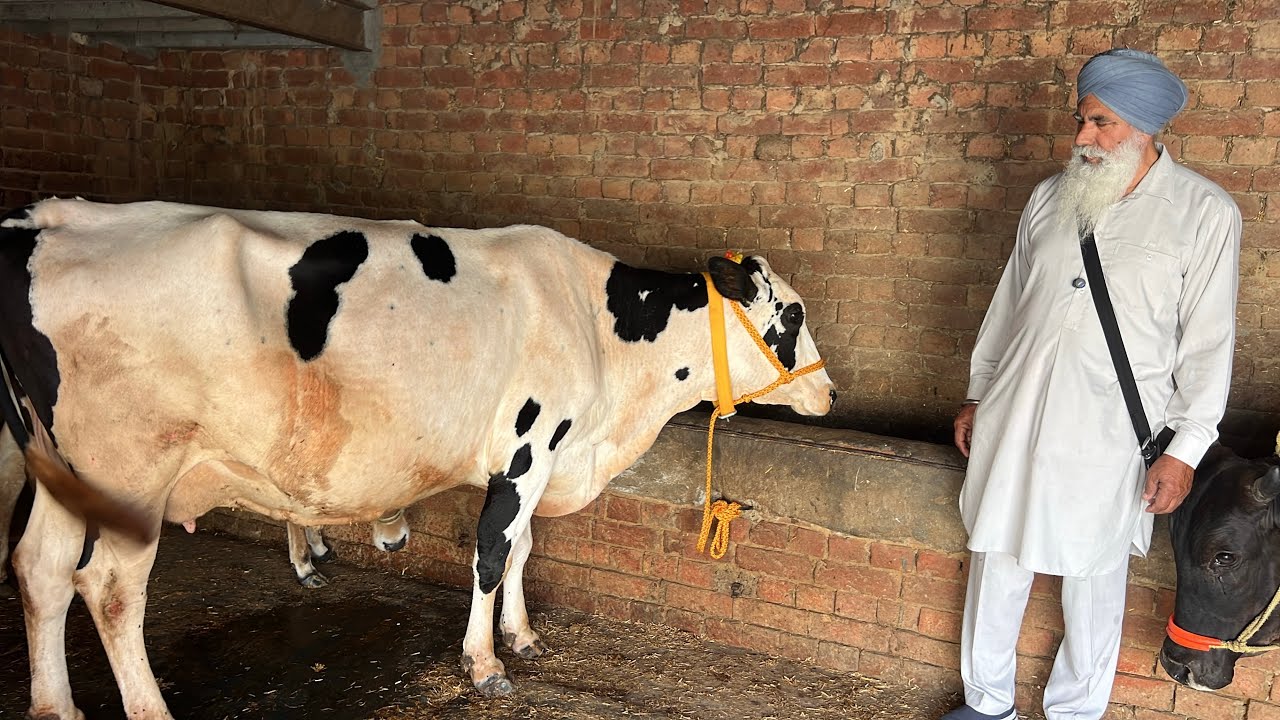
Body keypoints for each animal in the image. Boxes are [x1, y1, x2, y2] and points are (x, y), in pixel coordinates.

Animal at [0, 198, 834, 719]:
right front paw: (485, 664)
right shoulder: (527, 450)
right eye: (791, 314)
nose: (828, 392)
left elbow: (523, 549)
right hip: (132, 471)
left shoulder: (538, 459)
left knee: (40, 568)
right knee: (108, 587)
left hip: (56, 467)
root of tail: (44, 221)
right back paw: (149, 707)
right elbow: (492, 555)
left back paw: (56, 706)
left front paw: (521, 635)